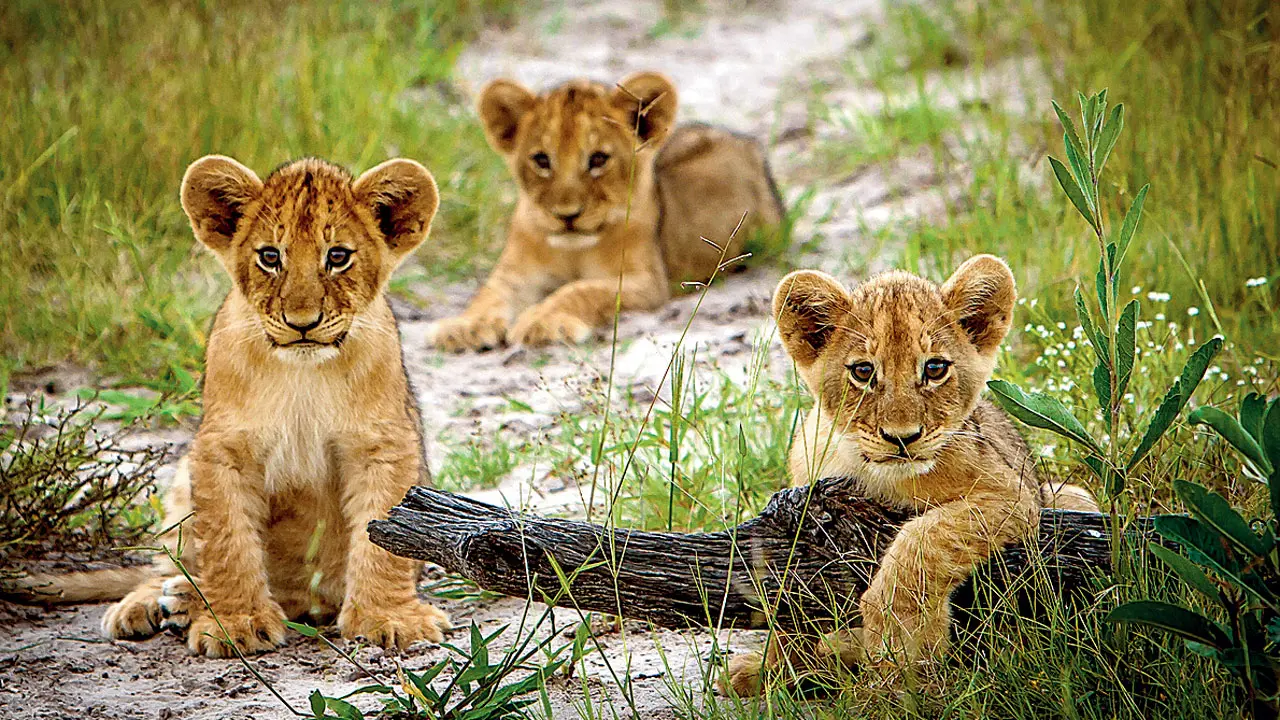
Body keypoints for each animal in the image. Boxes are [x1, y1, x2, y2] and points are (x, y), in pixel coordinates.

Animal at [3, 156, 451, 657]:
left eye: (337, 256)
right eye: (270, 256)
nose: (302, 323)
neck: (303, 373)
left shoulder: (383, 444)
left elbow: (384, 541)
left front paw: (389, 617)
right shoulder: (222, 447)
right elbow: (228, 540)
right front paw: (235, 623)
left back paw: (182, 601)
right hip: (182, 484)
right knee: (168, 564)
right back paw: (156, 602)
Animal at [427, 71, 784, 351]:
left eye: (598, 159)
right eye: (541, 160)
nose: (567, 215)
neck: (572, 250)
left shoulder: (644, 282)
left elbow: (583, 289)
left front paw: (543, 320)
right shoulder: (514, 274)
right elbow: (488, 295)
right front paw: (464, 327)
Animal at [720, 254, 1099, 695]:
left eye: (935, 368)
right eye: (863, 372)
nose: (902, 437)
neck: (874, 472)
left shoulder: (1009, 493)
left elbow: (924, 540)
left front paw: (902, 636)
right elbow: (790, 606)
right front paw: (766, 668)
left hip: (1073, 497)